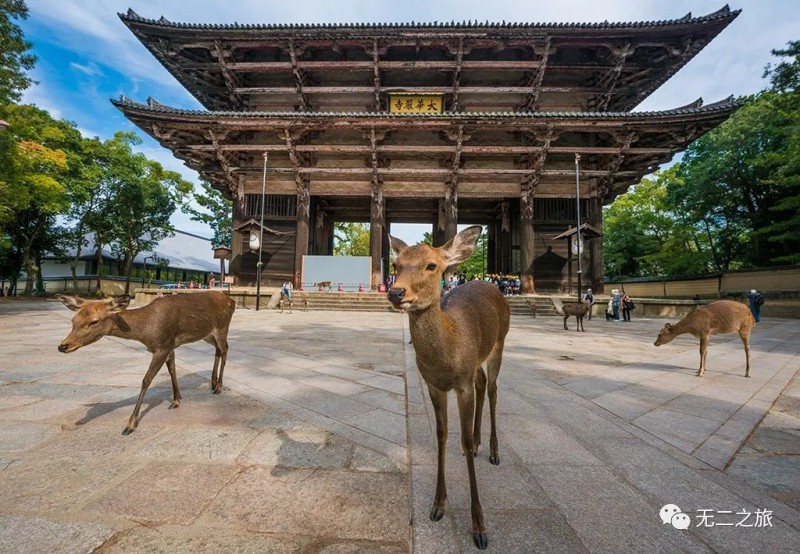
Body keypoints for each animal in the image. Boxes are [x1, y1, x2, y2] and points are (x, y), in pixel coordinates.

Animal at [57, 292, 234, 434]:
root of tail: (231, 300)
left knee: (225, 349)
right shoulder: (169, 346)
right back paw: (212, 382)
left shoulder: (162, 347)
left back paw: (219, 386)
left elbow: (146, 380)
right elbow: (172, 369)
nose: (63, 346)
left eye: (94, 321)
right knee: (217, 350)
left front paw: (130, 425)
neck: (146, 331)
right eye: (73, 320)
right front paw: (176, 400)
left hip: (222, 327)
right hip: (207, 334)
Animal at [386, 224, 510, 548]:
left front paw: (479, 527)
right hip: (477, 361)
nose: (396, 291)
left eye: (432, 265)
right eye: (396, 265)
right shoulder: (434, 384)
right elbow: (441, 435)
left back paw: (493, 451)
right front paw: (437, 505)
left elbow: (461, 440)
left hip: (500, 341)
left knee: (493, 387)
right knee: (482, 382)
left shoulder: (461, 384)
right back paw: (479, 444)